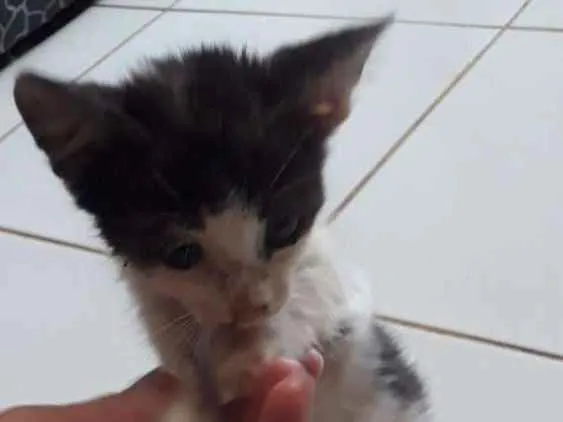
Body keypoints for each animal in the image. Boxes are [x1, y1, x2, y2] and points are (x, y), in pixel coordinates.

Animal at [14, 18, 430, 422]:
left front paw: (249, 350)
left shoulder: (343, 301)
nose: (253, 307)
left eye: (284, 227)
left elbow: (314, 297)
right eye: (181, 254)